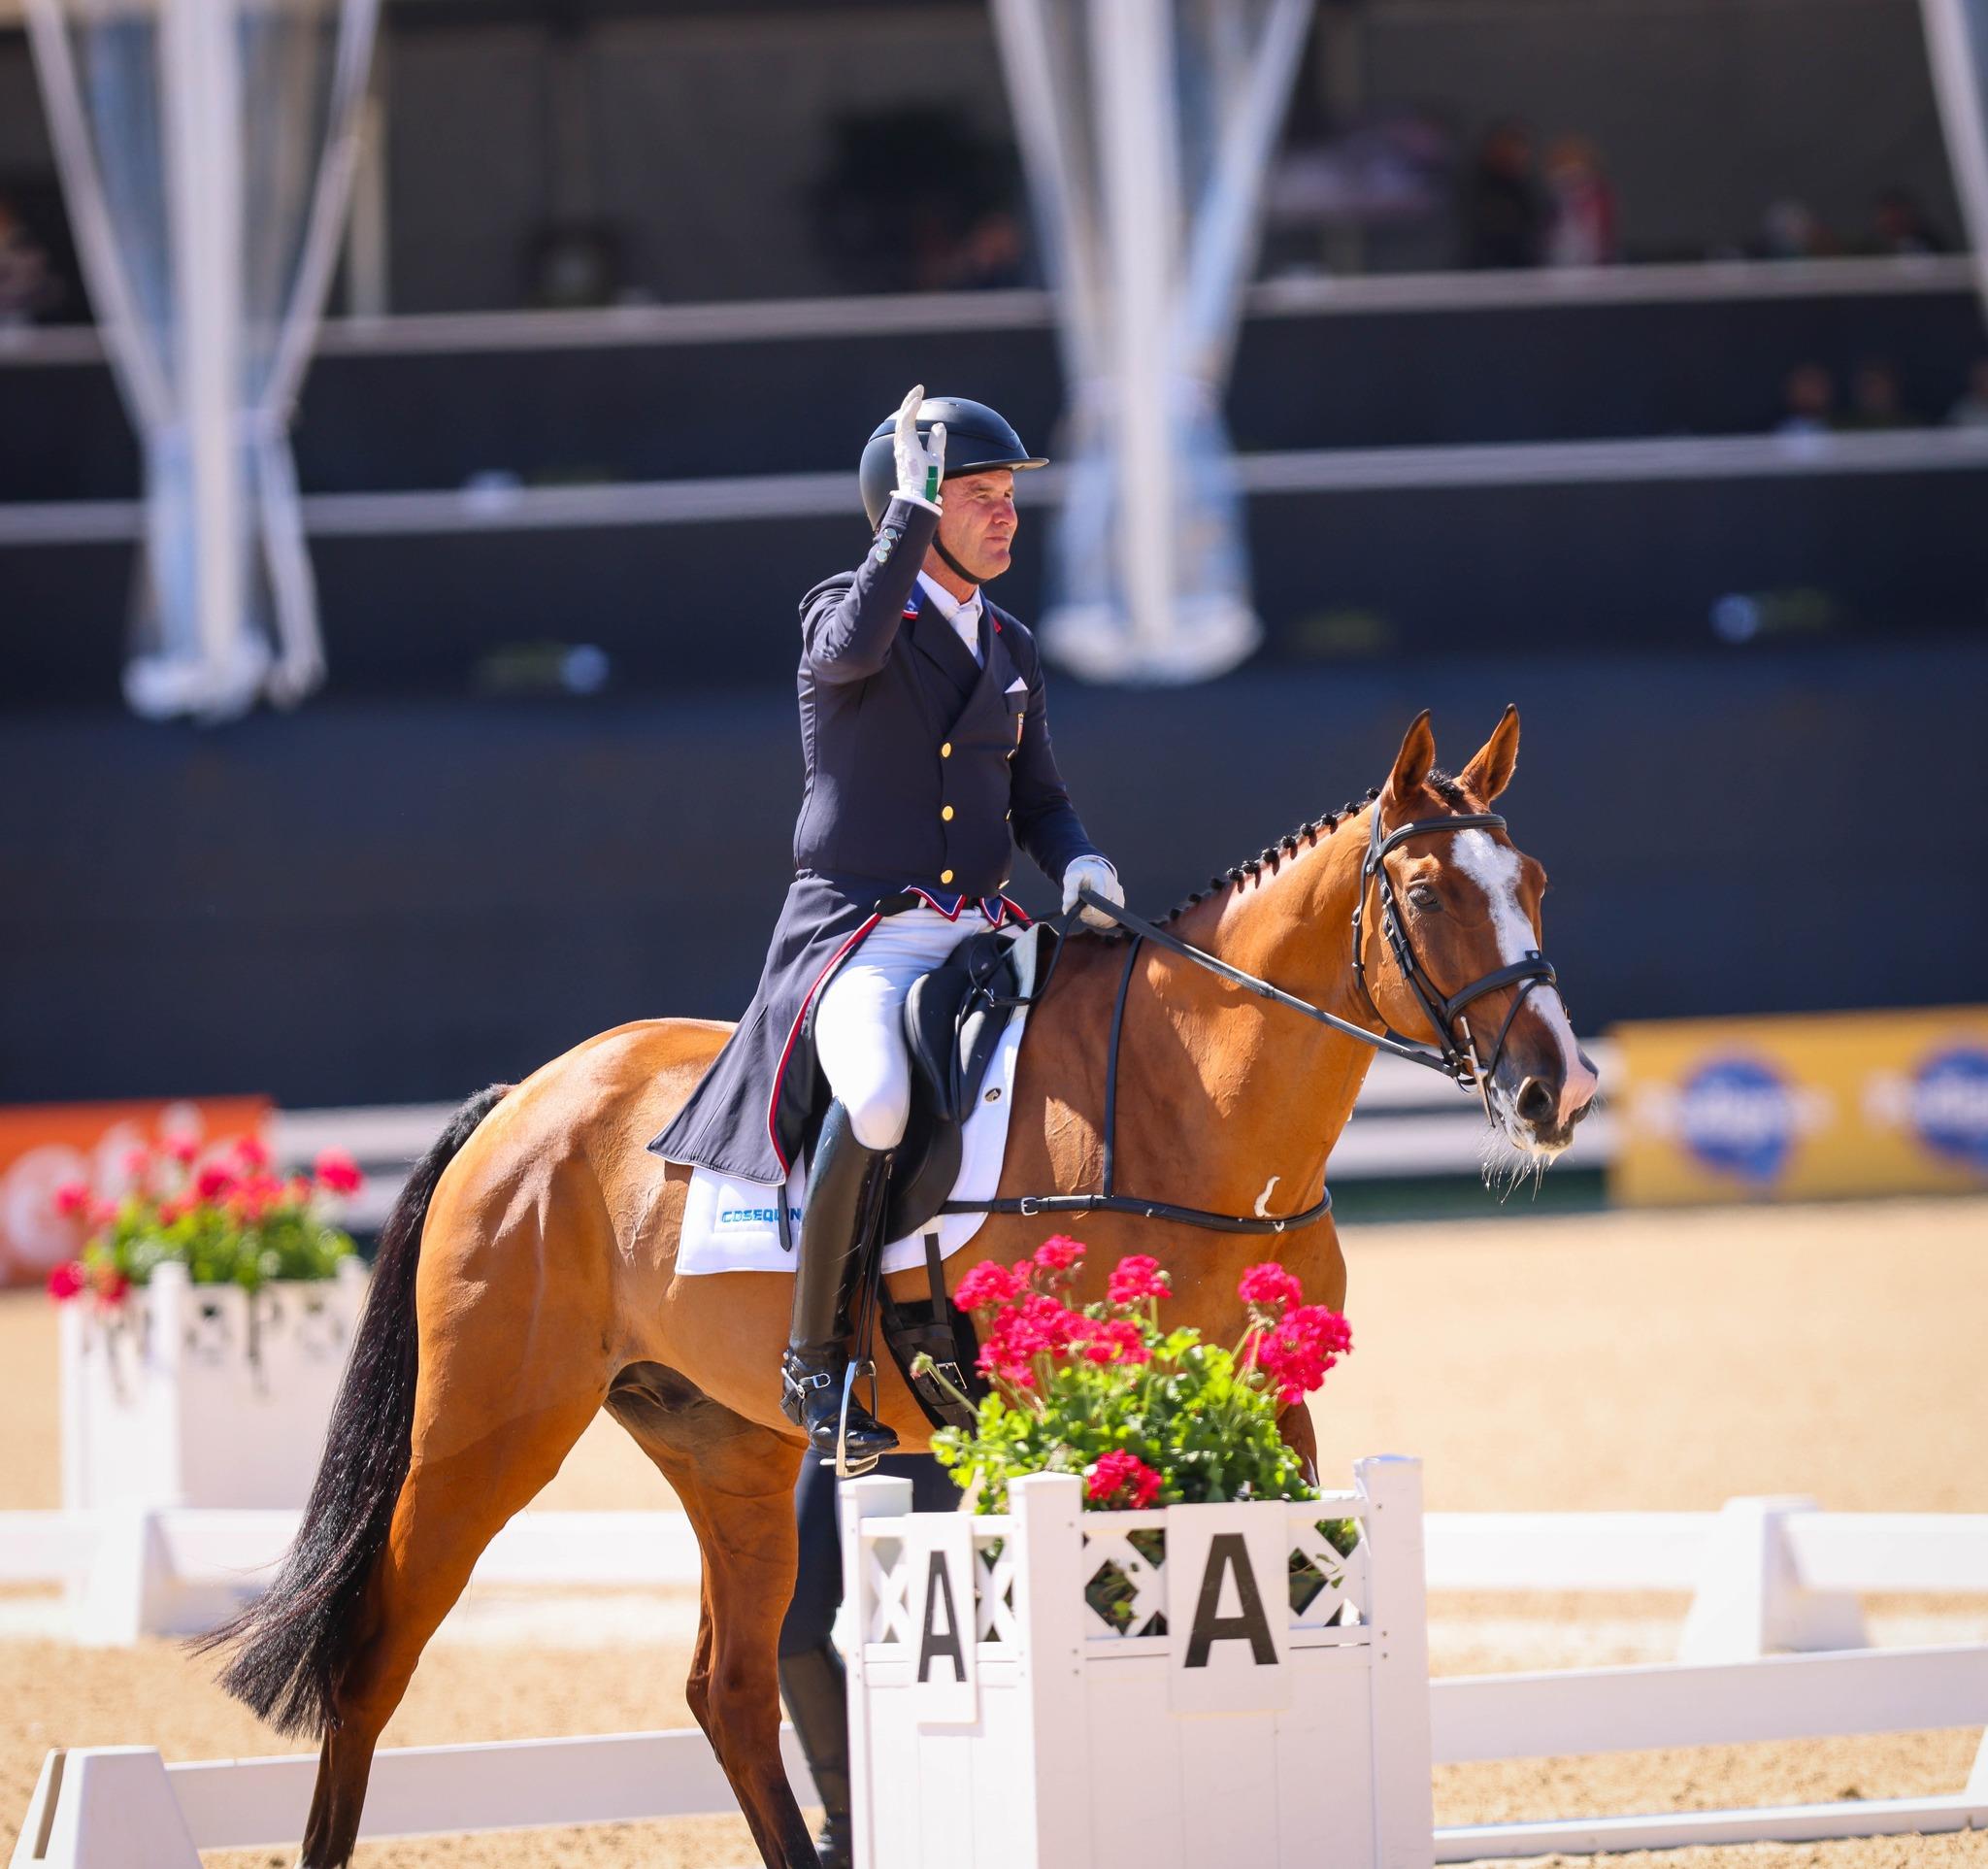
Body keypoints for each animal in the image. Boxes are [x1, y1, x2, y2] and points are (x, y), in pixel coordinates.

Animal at [205, 703, 1598, 1869]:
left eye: (1530, 883)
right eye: (1427, 890)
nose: (1560, 1089)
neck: (1186, 1104)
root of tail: (526, 1099)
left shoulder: (1266, 1401)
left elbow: (1292, 1578)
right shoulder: (1060, 1414)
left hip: (727, 1450)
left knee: (730, 1688)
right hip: (484, 1432)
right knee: (374, 1662)